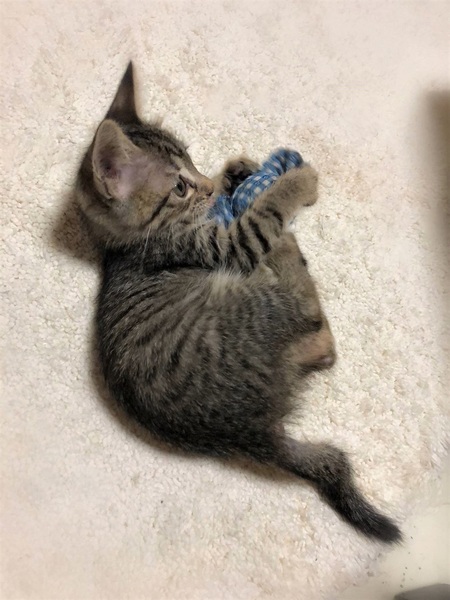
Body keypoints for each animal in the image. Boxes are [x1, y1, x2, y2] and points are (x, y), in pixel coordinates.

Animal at [75, 62, 401, 544]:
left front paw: (237, 173)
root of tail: (254, 434)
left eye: (191, 162)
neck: (126, 246)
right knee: (316, 328)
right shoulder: (225, 246)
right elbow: (263, 215)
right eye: (179, 187)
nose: (210, 188)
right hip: (254, 302)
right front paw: (296, 182)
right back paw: (287, 248)